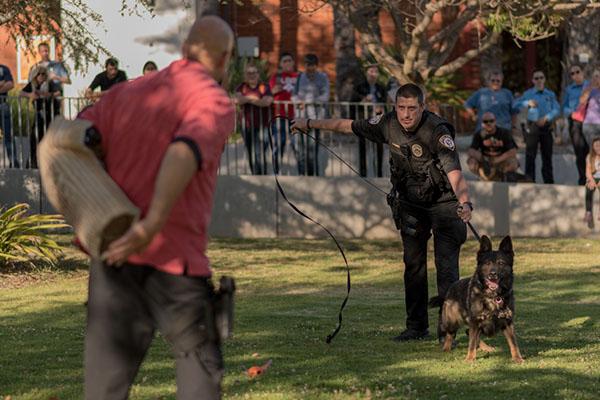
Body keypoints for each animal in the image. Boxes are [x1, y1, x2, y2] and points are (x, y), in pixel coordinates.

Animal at [428, 234, 524, 362]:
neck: (493, 297)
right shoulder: (475, 321)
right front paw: (469, 359)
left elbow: (513, 343)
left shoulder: (508, 323)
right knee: (451, 334)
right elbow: (472, 343)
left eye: (501, 263)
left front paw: (518, 358)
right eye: (487, 263)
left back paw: (486, 347)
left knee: (468, 332)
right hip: (452, 322)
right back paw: (446, 348)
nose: (493, 274)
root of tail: (450, 288)